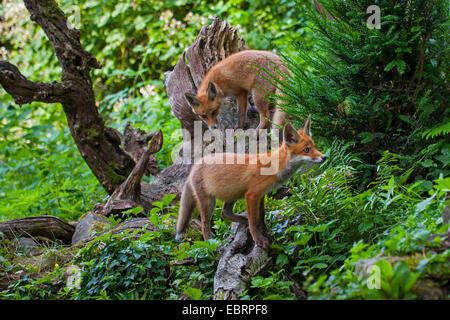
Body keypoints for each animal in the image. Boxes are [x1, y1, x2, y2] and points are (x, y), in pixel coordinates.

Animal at [174, 116, 326, 249]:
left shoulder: (261, 195)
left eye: (315, 147)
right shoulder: (252, 195)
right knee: (205, 225)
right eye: (306, 150)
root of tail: (194, 167)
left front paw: (266, 231)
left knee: (225, 213)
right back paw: (211, 243)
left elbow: (261, 217)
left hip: (232, 193)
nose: (324, 157)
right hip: (209, 202)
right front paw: (259, 239)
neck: (275, 166)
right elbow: (254, 221)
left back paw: (242, 220)